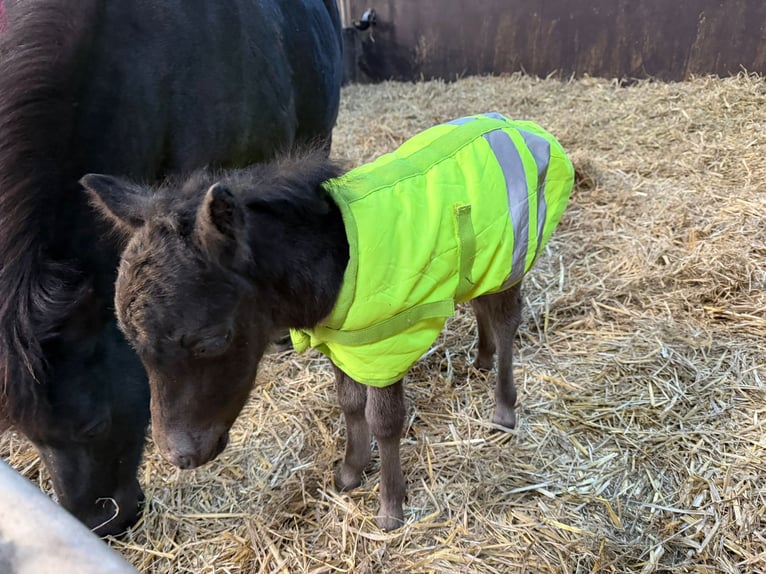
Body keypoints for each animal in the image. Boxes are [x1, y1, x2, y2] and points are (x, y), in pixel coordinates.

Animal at [81, 115, 574, 529]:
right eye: (134, 347)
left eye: (212, 340)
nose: (179, 456)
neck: (333, 265)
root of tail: (522, 126)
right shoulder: (343, 340)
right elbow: (349, 402)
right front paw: (350, 472)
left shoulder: (385, 343)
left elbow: (384, 419)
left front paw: (390, 508)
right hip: (485, 259)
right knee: (480, 304)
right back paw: (481, 359)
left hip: (514, 253)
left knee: (507, 321)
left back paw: (504, 408)